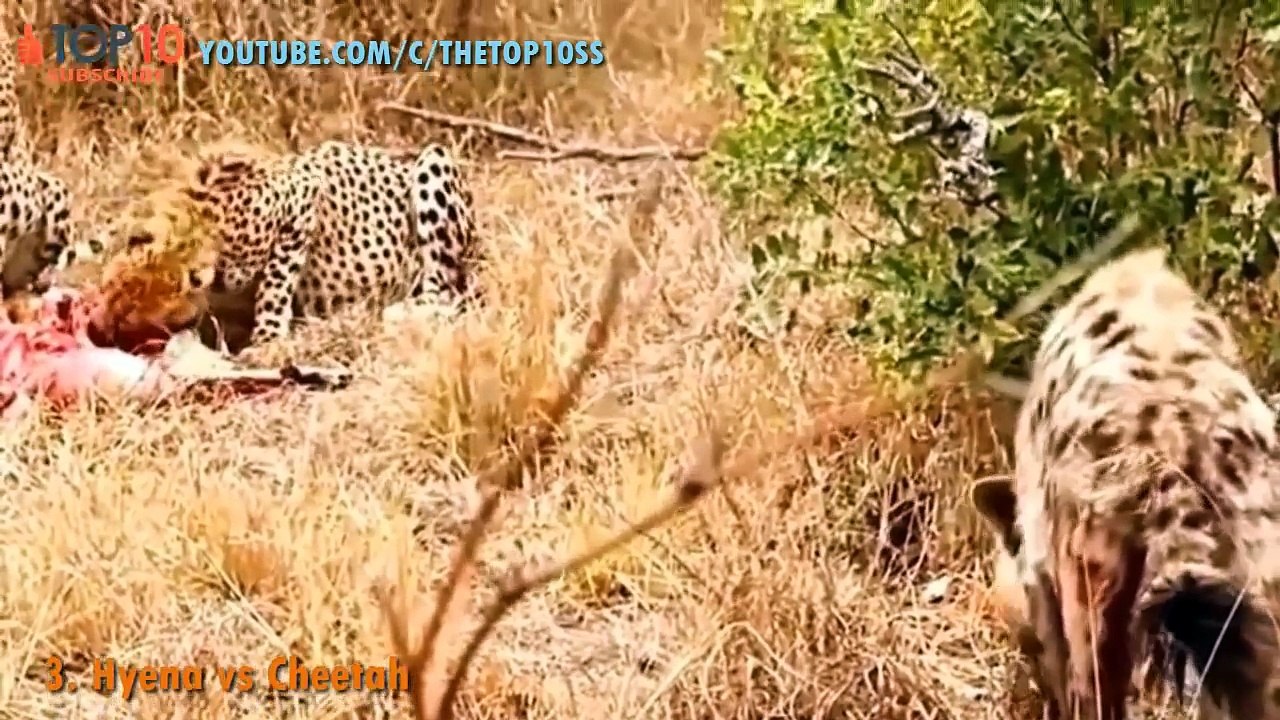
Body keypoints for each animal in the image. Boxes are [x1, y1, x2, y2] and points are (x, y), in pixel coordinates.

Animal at [178, 138, 481, 351]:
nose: (191, 277)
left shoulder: (301, 198)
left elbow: (275, 283)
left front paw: (268, 337)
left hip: (435, 161)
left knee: (444, 286)